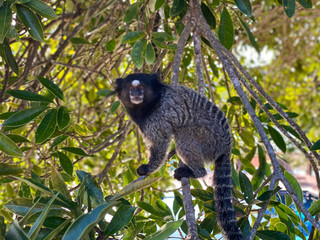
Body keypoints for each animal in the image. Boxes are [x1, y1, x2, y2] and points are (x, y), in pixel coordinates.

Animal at [114, 73, 244, 240]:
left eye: (141, 87)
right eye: (130, 88)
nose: (136, 94)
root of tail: (226, 146)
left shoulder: (159, 118)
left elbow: (161, 142)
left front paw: (148, 169)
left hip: (209, 137)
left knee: (184, 135)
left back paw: (193, 171)